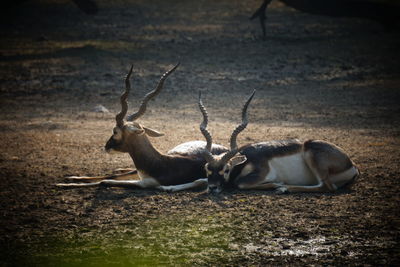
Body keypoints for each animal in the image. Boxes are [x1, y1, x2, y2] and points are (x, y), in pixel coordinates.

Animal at [57, 62, 230, 193]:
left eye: (115, 131)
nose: (106, 147)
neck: (160, 163)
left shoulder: (144, 183)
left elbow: (104, 181)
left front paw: (64, 184)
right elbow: (108, 176)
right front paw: (70, 179)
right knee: (120, 171)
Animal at [200, 91, 360, 194]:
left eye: (226, 169)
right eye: (207, 168)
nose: (212, 187)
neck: (246, 160)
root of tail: (352, 165)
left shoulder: (261, 173)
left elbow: (240, 183)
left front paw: (278, 184)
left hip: (311, 153)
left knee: (327, 187)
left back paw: (284, 188)